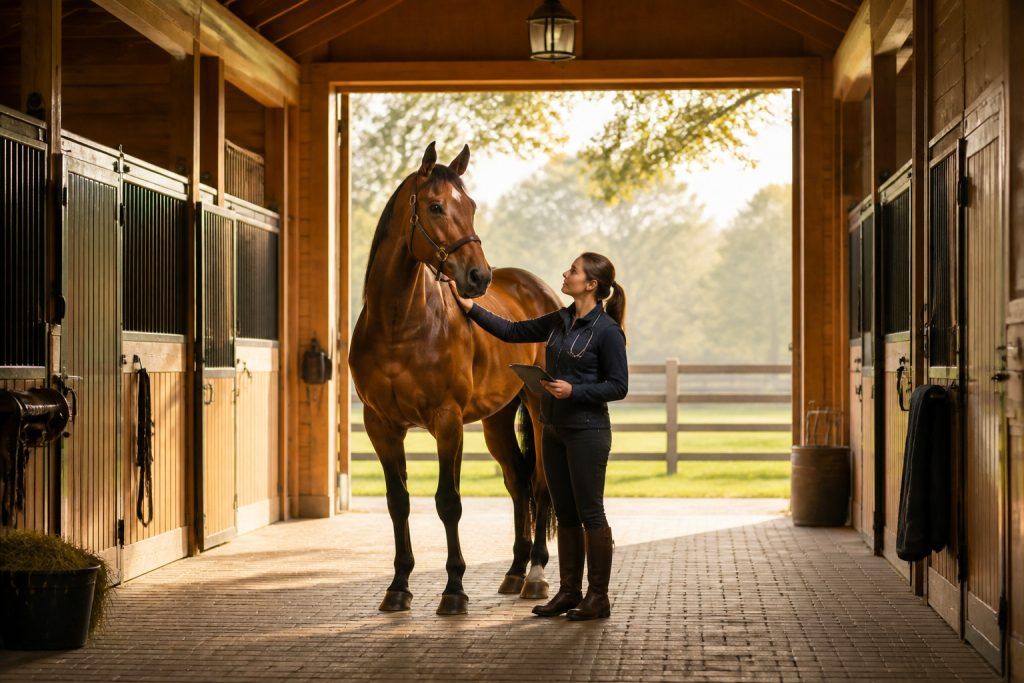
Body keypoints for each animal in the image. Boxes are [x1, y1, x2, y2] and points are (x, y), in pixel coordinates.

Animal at [349, 142, 563, 615]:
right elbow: (398, 501)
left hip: (539, 411)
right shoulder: (381, 426)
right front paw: (398, 586)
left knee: (541, 484)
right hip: (496, 420)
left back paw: (536, 575)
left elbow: (448, 502)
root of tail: (545, 293)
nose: (478, 277)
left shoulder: (447, 423)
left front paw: (454, 590)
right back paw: (514, 571)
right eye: (435, 206)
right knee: (518, 482)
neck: (400, 325)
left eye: (472, 207)